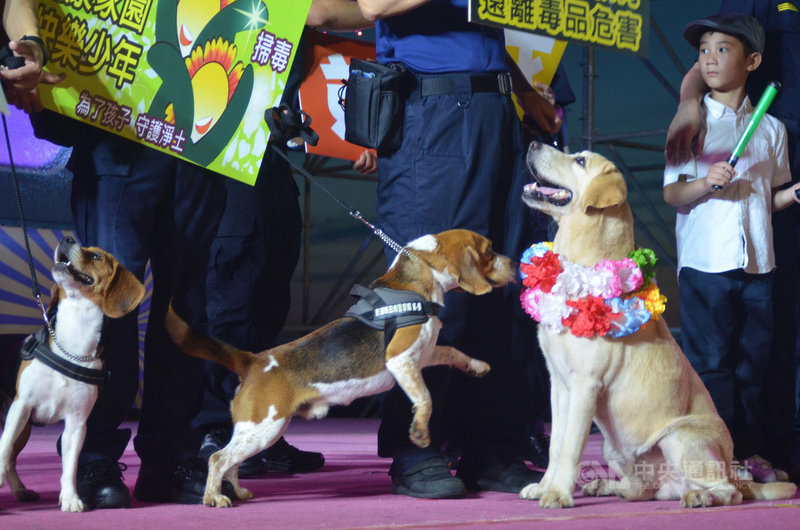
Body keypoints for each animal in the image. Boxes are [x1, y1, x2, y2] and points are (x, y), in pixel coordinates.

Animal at [0, 235, 145, 508]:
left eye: (97, 256)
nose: (66, 238)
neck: (72, 344)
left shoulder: (77, 423)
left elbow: (70, 466)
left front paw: (70, 499)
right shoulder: (21, 406)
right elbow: (3, 448)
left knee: (13, 460)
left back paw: (21, 491)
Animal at [166, 227, 516, 504]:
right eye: (489, 251)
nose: (514, 262)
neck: (419, 275)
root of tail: (255, 360)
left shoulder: (424, 353)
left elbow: (452, 351)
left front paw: (477, 365)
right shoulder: (401, 359)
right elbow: (425, 398)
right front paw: (419, 431)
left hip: (257, 431)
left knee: (232, 462)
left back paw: (237, 491)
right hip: (263, 429)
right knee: (217, 458)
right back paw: (214, 497)